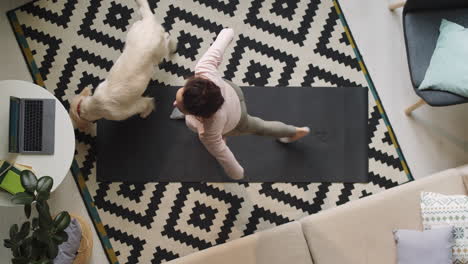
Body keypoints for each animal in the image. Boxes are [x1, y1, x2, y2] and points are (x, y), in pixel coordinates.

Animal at [69, 0, 177, 130]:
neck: (95, 105)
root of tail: (148, 20)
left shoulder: (134, 107)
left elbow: (148, 104)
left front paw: (145, 114)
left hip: (160, 51)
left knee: (168, 37)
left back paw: (173, 48)